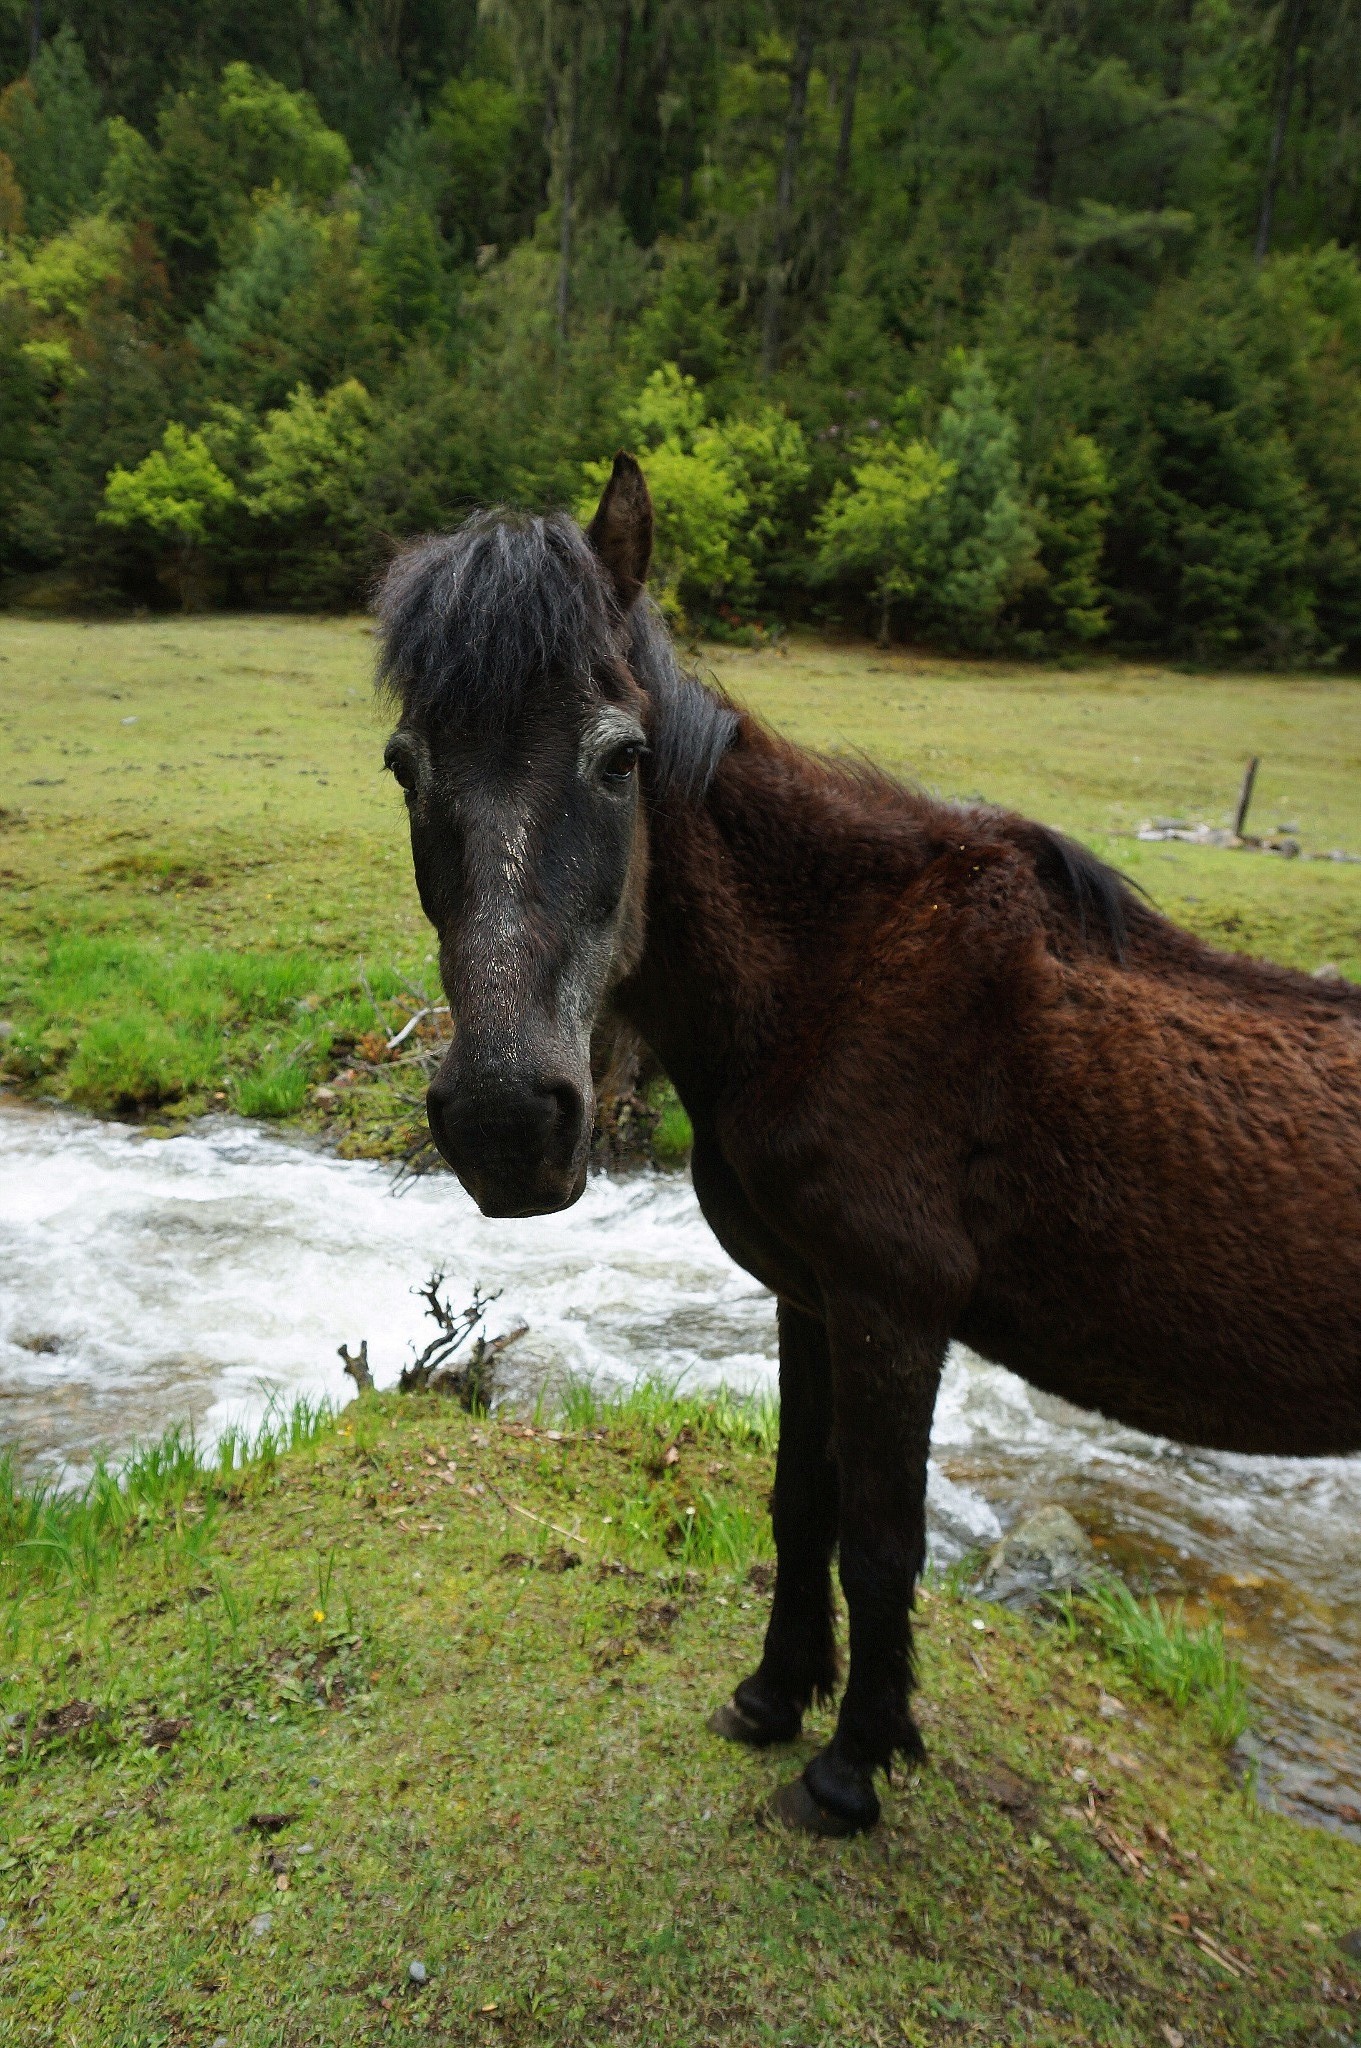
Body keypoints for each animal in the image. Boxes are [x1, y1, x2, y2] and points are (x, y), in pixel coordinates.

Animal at [372, 456, 1358, 1835]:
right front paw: (772, 1695)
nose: (510, 1123)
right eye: (403, 766)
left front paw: (851, 1763)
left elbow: (884, 1536)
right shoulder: (809, 1293)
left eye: (620, 761)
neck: (834, 975)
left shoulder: (894, 1304)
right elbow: (802, 1501)